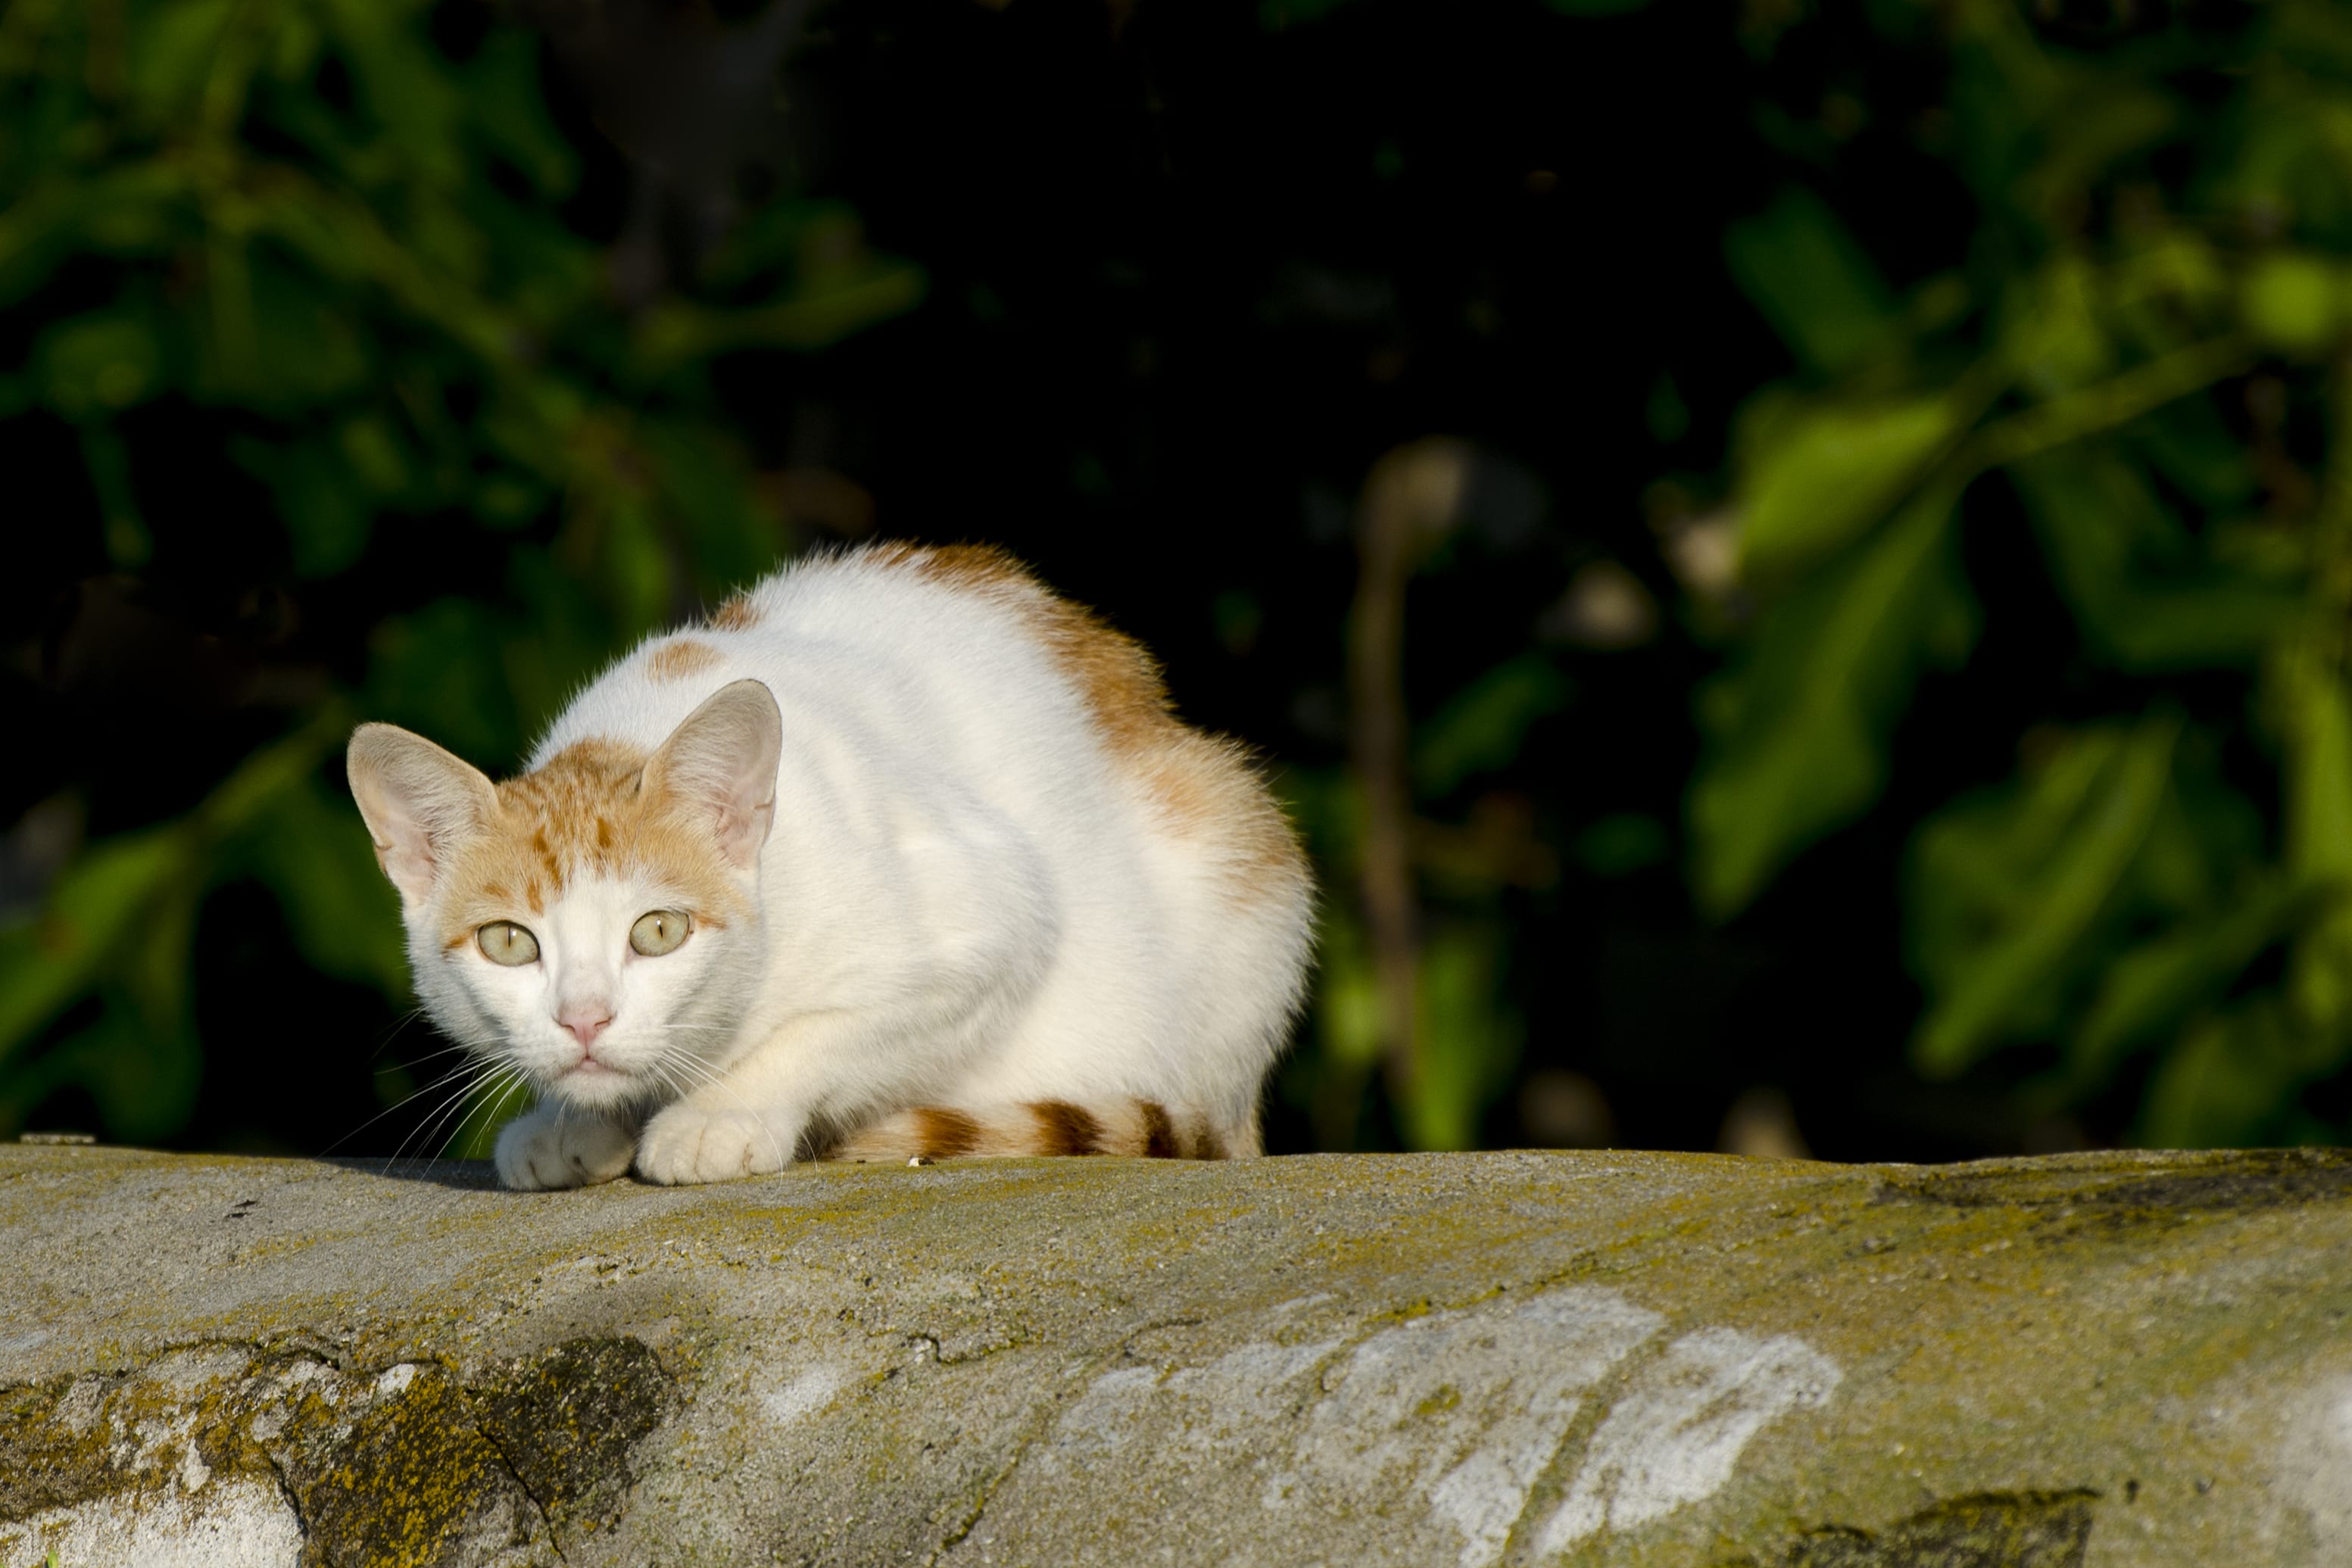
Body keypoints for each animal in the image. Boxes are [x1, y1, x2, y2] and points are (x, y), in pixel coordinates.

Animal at [345, 543, 1317, 1189]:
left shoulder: (992, 920)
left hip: (1236, 857)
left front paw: (721, 1112)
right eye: (510, 943)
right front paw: (574, 1121)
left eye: (657, 931)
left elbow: (822, 1032)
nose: (585, 1020)